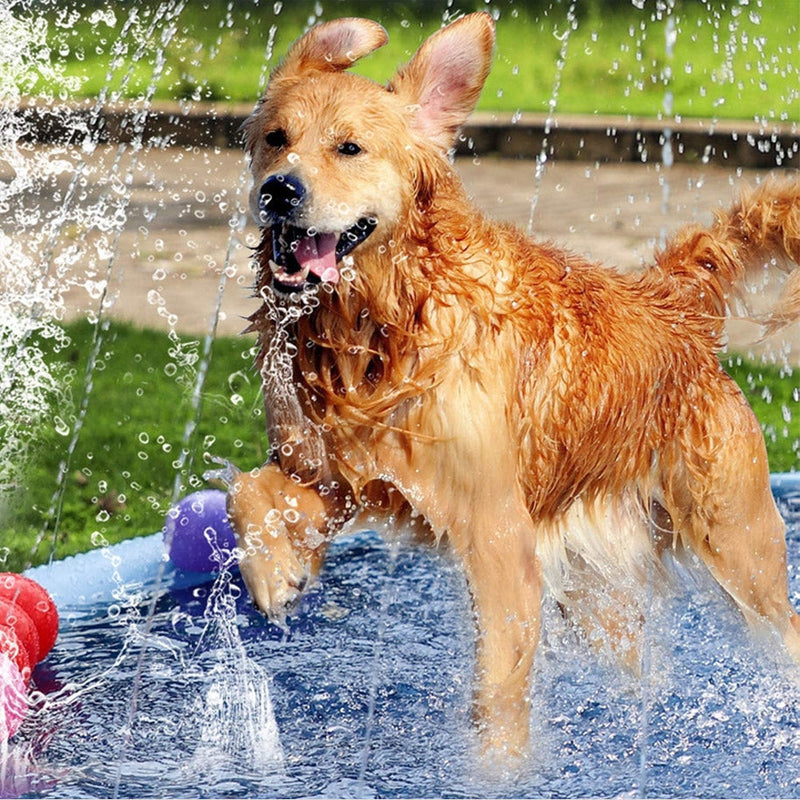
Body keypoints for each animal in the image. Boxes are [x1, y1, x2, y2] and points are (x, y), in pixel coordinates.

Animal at [227, 12, 800, 760]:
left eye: (348, 148)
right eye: (276, 139)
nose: (279, 190)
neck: (382, 326)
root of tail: (671, 302)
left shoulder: (497, 533)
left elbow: (497, 697)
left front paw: (495, 769)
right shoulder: (337, 475)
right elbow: (248, 489)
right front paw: (275, 574)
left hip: (737, 545)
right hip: (596, 584)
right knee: (637, 666)